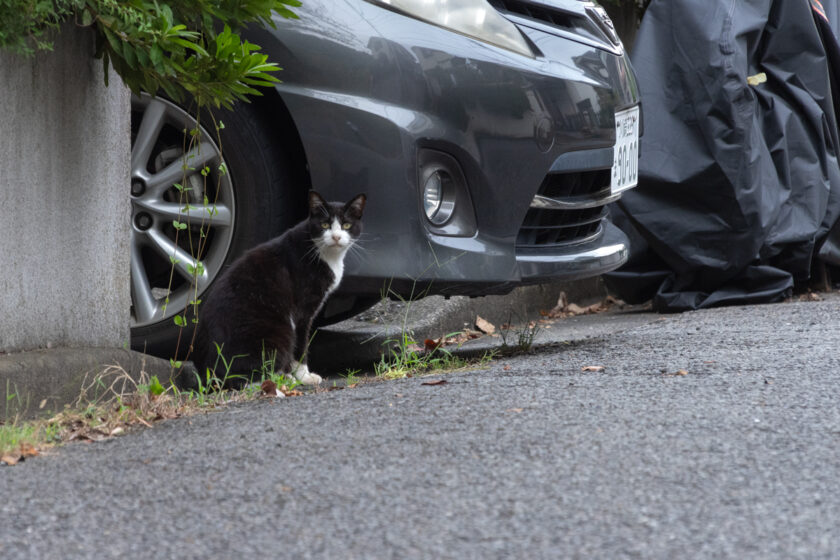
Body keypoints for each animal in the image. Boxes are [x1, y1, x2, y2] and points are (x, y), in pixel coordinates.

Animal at [192, 190, 366, 388]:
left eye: (346, 225)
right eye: (324, 224)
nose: (336, 237)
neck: (324, 254)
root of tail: (209, 374)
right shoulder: (302, 312)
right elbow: (301, 345)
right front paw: (304, 376)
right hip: (277, 333)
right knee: (250, 377)